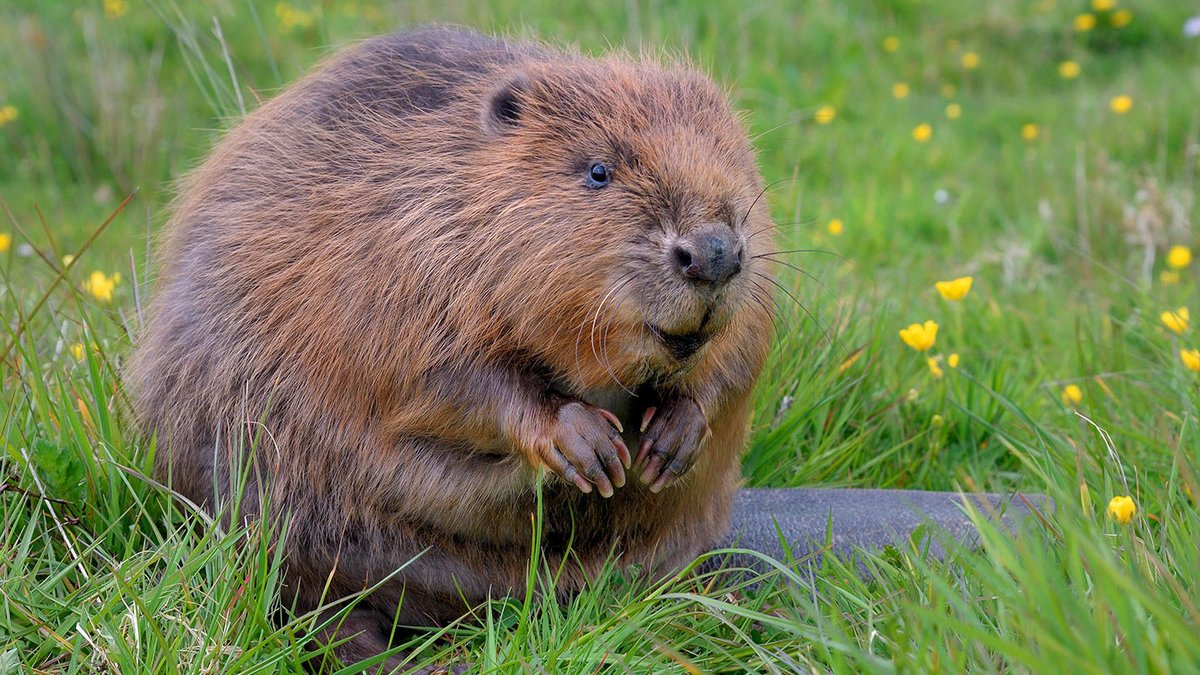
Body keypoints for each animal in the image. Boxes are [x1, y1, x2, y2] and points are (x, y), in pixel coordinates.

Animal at [126, 24, 772, 667]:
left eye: (730, 157)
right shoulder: (395, 256)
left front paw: (672, 437)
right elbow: (443, 380)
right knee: (302, 595)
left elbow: (739, 355)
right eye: (598, 171)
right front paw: (586, 444)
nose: (714, 252)